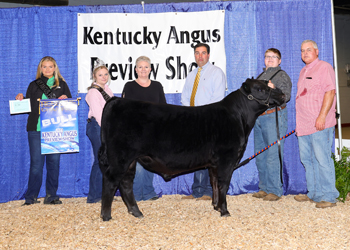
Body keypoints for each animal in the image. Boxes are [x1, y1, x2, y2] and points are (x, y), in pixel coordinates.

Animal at [98, 78, 284, 221]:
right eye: (260, 89)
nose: (282, 94)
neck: (239, 117)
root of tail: (117, 100)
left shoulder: (214, 164)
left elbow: (215, 183)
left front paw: (216, 206)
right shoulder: (227, 159)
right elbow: (223, 184)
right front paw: (224, 211)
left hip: (129, 161)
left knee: (126, 183)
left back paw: (136, 212)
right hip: (120, 157)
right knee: (110, 181)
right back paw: (106, 216)